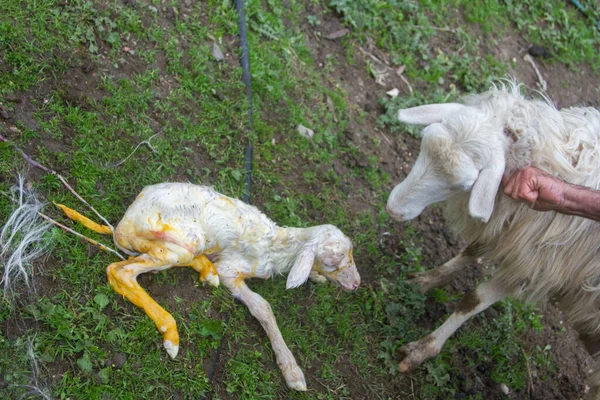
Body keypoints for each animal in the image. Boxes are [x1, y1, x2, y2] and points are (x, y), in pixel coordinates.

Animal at [59, 184, 360, 390]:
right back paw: (171, 334)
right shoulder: (232, 270)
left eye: (351, 254)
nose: (356, 284)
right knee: (119, 271)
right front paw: (292, 371)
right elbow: (263, 307)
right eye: (333, 261)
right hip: (178, 241)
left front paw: (317, 278)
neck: (278, 248)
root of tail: (120, 228)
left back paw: (206, 271)